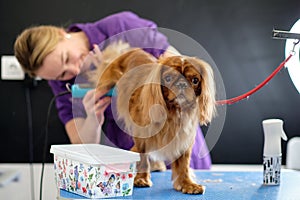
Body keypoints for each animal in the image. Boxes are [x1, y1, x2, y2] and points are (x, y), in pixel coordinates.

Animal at [91, 41, 216, 194]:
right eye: (168, 78)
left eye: (195, 80)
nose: (181, 84)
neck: (173, 112)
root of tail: (129, 51)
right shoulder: (142, 136)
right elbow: (142, 157)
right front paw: (141, 179)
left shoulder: (184, 139)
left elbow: (183, 164)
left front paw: (187, 184)